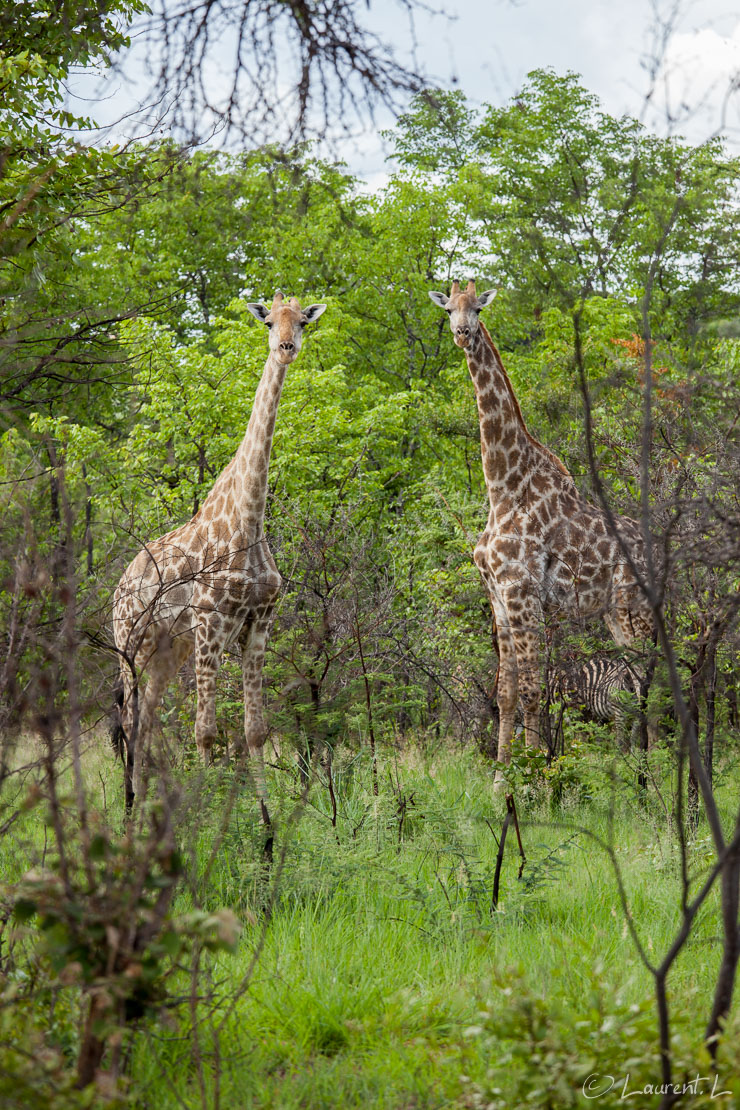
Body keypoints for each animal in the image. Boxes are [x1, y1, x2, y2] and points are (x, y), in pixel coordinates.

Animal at [113, 295, 326, 816]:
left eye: (302, 321)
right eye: (268, 322)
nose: (286, 348)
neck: (250, 518)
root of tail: (119, 586)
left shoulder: (258, 622)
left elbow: (254, 731)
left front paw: (266, 822)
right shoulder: (211, 622)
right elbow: (206, 733)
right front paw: (209, 821)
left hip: (166, 650)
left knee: (147, 721)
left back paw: (141, 811)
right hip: (130, 643)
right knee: (130, 723)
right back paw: (129, 811)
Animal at [428, 279, 652, 781]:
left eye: (478, 308)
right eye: (448, 309)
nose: (462, 333)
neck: (502, 488)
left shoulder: (522, 591)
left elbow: (533, 690)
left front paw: (533, 780)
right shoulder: (498, 597)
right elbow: (506, 692)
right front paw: (500, 780)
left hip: (636, 608)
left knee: (653, 678)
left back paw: (655, 777)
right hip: (613, 614)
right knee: (636, 679)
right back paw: (641, 773)